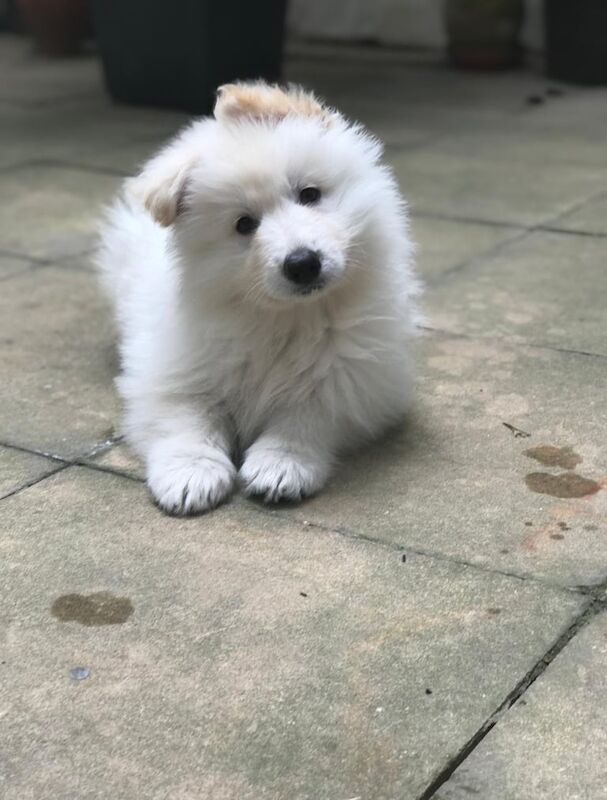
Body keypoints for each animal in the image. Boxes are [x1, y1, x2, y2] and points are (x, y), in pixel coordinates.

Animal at [98, 84, 422, 516]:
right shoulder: (173, 368)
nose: (303, 263)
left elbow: (308, 413)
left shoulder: (360, 378)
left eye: (309, 194)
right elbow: (187, 417)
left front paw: (281, 464)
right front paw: (191, 473)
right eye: (244, 224)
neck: (287, 318)